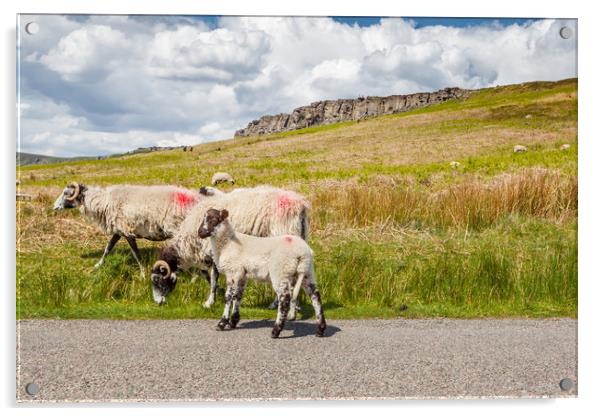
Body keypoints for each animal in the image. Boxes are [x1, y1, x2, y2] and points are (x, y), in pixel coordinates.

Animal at [52, 183, 206, 276]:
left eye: (66, 193)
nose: (54, 207)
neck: (102, 201)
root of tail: (198, 199)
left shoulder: (127, 232)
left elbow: (136, 253)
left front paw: (143, 273)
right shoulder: (119, 231)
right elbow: (108, 247)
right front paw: (98, 265)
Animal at [149, 185, 310, 308]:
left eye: (156, 280)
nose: (158, 303)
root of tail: (300, 205)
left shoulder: (213, 250)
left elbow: (213, 277)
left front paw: (209, 302)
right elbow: (208, 274)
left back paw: (280, 304)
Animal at [198, 208, 326, 338]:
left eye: (214, 220)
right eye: (203, 218)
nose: (200, 232)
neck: (227, 243)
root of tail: (303, 252)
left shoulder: (232, 272)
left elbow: (228, 297)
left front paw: (222, 323)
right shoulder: (242, 274)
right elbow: (238, 296)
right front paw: (233, 321)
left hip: (281, 271)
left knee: (284, 299)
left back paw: (276, 330)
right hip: (307, 272)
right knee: (315, 296)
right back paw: (320, 330)